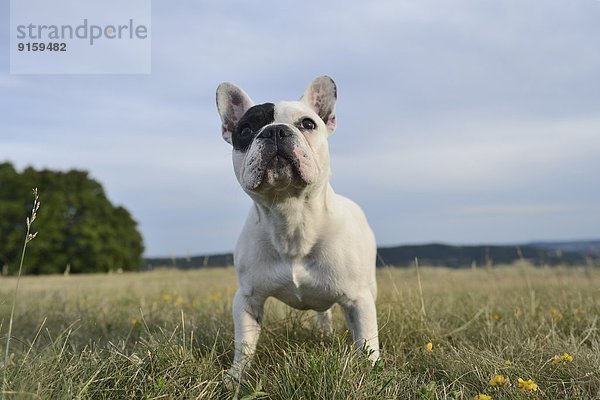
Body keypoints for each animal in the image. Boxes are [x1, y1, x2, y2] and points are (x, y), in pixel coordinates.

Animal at [214, 76, 380, 380]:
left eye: (308, 124)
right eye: (246, 129)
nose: (275, 131)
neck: (290, 214)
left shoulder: (359, 300)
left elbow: (367, 340)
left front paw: (373, 373)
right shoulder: (247, 298)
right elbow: (244, 343)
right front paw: (236, 377)